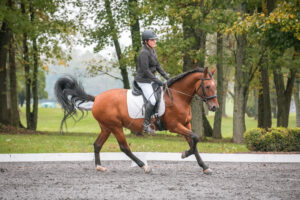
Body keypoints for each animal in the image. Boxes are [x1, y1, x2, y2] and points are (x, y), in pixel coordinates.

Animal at [54, 67, 218, 173]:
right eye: (207, 86)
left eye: (215, 86)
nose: (215, 107)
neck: (178, 97)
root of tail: (97, 98)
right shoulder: (175, 126)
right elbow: (195, 138)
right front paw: (185, 154)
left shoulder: (186, 124)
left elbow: (194, 142)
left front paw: (204, 167)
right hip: (116, 127)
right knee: (124, 147)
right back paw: (143, 166)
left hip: (106, 127)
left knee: (97, 144)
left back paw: (99, 167)